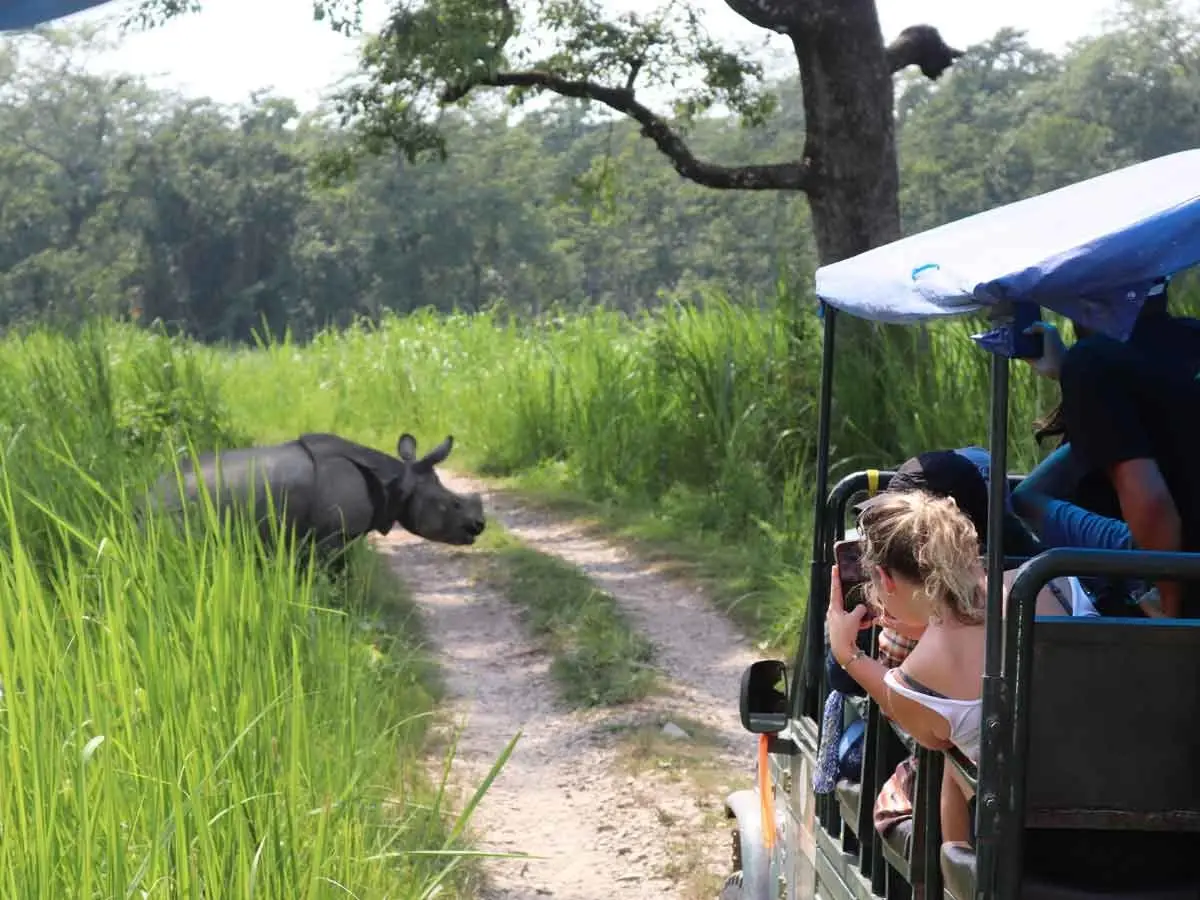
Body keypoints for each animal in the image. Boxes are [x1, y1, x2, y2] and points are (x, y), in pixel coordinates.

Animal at [149, 431, 485, 571]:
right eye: (453, 504)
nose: (479, 526)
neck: (397, 481)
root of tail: (146, 496)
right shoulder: (332, 536)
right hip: (176, 511)